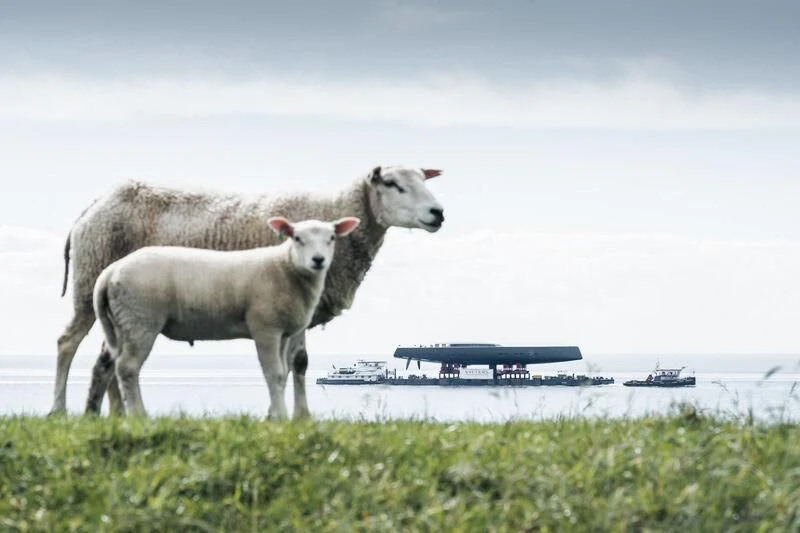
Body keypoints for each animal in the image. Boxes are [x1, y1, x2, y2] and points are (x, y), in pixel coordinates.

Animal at [84, 216, 361, 418]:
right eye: (297, 238)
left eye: (332, 238)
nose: (318, 260)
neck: (285, 268)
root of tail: (111, 271)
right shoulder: (265, 327)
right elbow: (274, 373)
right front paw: (280, 418)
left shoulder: (282, 332)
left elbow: (283, 373)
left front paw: (273, 415)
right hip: (141, 320)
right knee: (128, 367)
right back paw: (139, 416)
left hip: (123, 323)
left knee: (115, 364)